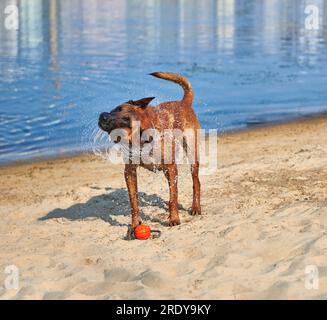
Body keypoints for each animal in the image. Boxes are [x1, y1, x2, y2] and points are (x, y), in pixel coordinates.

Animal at [98, 71, 201, 229]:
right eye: (117, 108)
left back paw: (196, 207)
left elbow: (173, 197)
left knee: (196, 182)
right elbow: (134, 202)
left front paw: (174, 218)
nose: (103, 115)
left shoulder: (171, 169)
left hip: (191, 153)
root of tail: (183, 103)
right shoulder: (129, 172)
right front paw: (135, 224)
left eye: (126, 121)